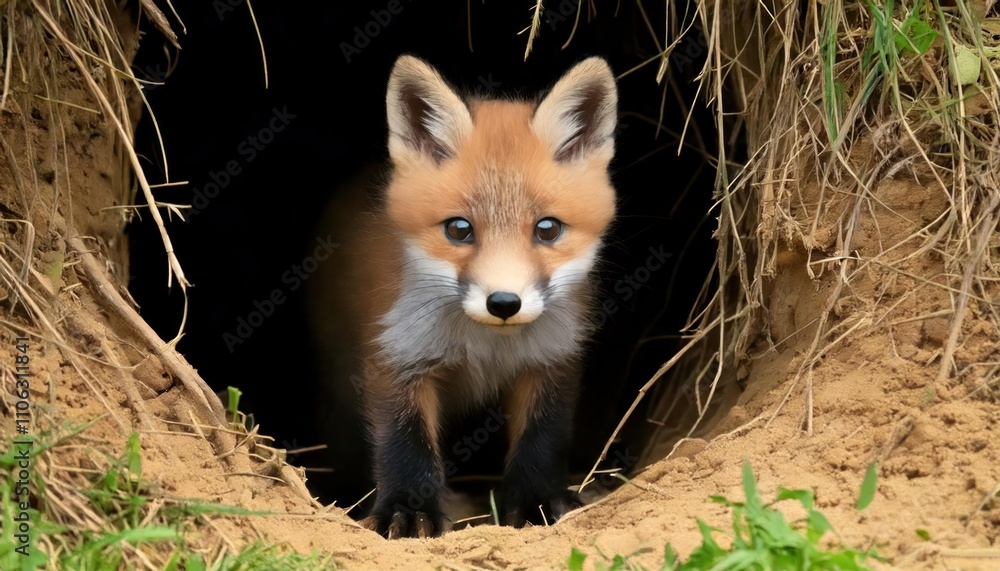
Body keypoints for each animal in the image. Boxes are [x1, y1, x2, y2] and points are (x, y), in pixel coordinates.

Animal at [309, 54, 618, 539]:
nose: (504, 303)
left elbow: (542, 440)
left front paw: (536, 503)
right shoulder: (397, 358)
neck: (485, 347)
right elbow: (404, 444)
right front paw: (408, 512)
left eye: (547, 229)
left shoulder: (552, 360)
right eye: (459, 229)